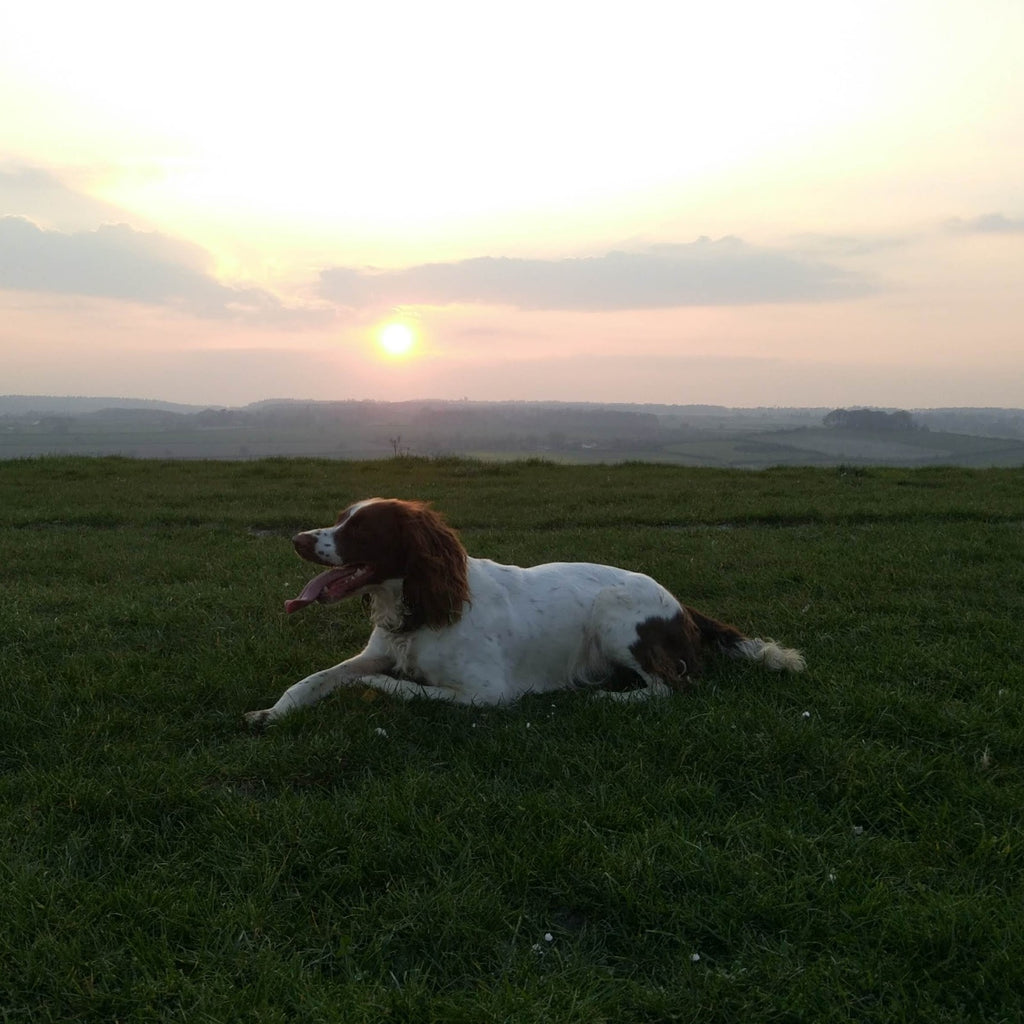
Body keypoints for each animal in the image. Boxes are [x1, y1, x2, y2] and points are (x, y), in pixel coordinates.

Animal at [243, 497, 802, 729]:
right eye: (340, 518)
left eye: (361, 529)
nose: (297, 540)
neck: (420, 609)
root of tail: (680, 603)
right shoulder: (377, 651)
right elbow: (314, 679)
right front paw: (272, 711)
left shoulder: (489, 693)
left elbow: (403, 687)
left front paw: (378, 687)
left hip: (614, 616)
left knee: (671, 687)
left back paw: (602, 697)